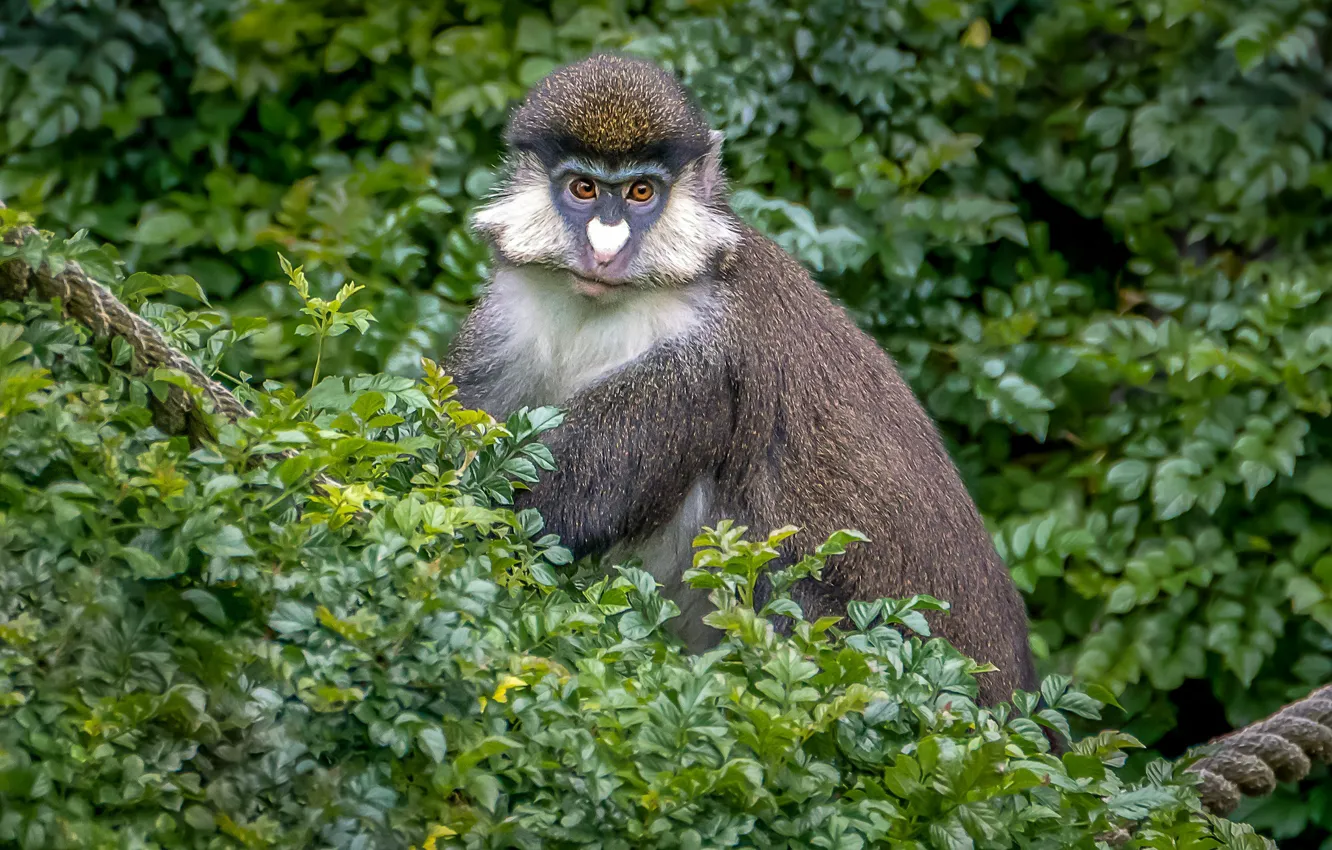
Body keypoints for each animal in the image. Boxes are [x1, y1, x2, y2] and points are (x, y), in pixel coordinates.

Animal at [445, 53, 1037, 706]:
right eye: (583, 188)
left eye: (642, 191)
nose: (604, 250)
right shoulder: (506, 324)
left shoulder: (697, 368)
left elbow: (542, 513)